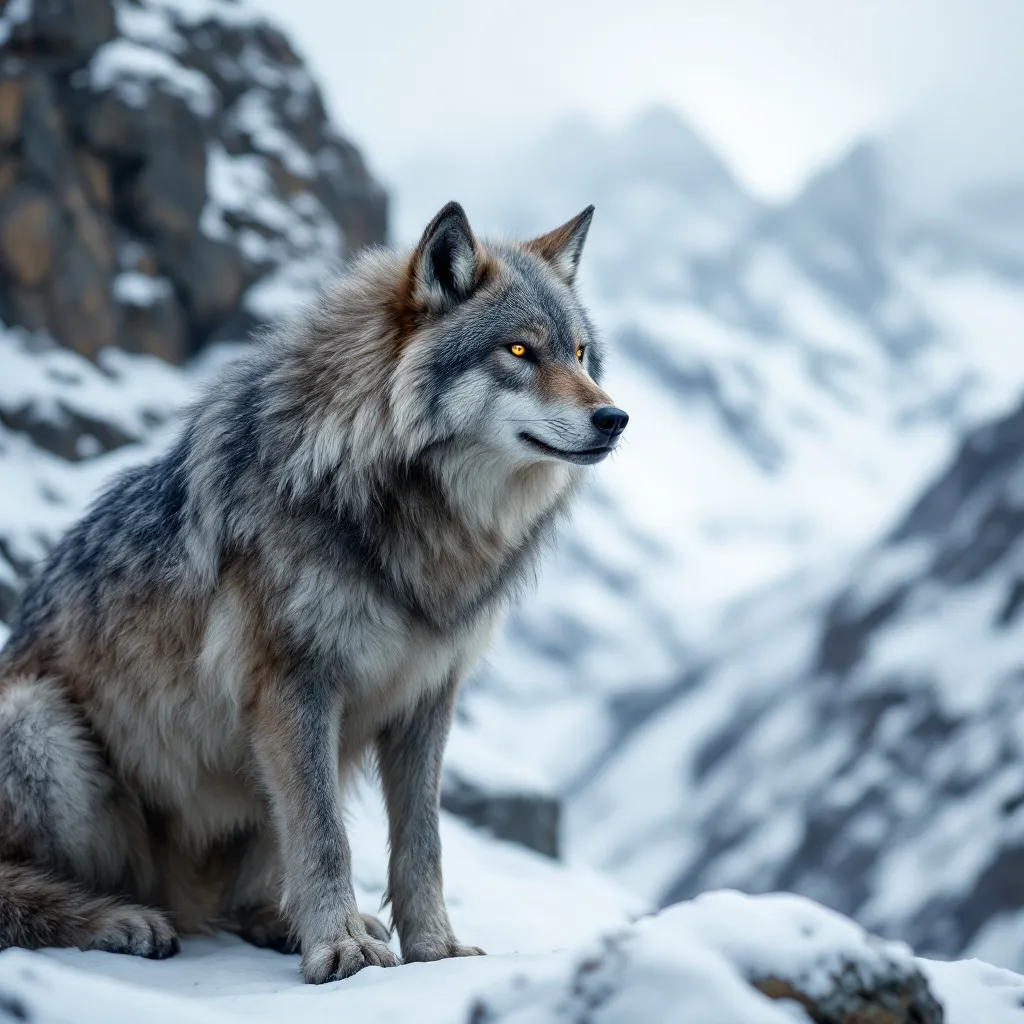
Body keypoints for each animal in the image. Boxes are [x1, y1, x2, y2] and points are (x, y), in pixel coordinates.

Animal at [0, 201, 628, 983]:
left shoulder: (426, 697)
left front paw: (433, 949)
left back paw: (277, 921)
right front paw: (341, 950)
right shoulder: (294, 685)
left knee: (246, 897)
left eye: (579, 354)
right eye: (518, 352)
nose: (615, 418)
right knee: (20, 890)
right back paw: (123, 921)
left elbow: (422, 842)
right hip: (39, 725)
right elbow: (327, 838)